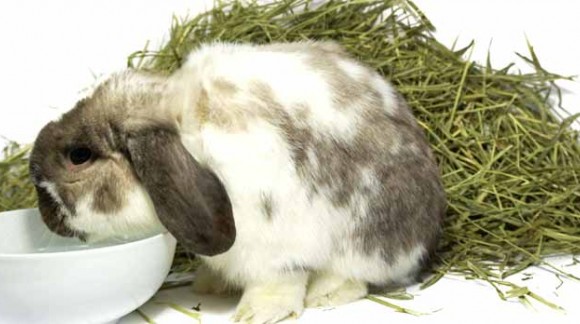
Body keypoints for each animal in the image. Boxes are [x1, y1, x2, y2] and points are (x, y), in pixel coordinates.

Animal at [28, 41, 444, 324]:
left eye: (79, 155)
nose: (43, 209)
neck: (186, 129)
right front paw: (208, 283)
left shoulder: (277, 251)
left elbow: (278, 284)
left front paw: (256, 314)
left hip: (365, 243)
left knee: (356, 276)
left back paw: (326, 293)